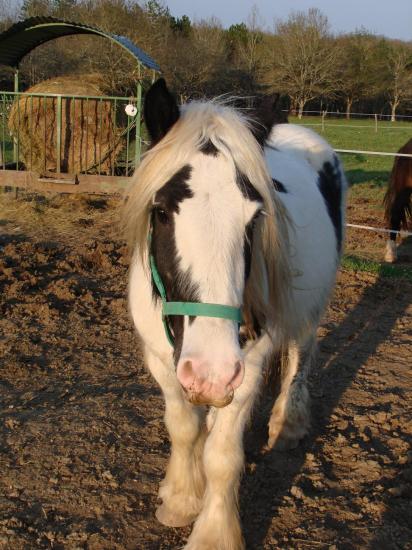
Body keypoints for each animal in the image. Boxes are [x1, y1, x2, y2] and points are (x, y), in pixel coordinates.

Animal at [126, 78, 348, 550]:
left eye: (255, 215)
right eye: (161, 211)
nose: (211, 370)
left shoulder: (246, 367)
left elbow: (223, 457)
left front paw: (212, 532)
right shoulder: (160, 360)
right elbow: (183, 427)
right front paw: (180, 499)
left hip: (311, 309)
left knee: (301, 358)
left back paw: (288, 423)